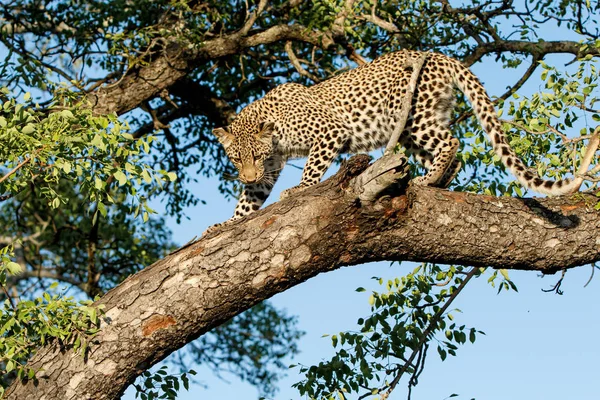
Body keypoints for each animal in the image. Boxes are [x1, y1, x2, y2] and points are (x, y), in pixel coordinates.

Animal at [210, 50, 580, 228]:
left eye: (255, 156)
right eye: (237, 159)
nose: (248, 174)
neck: (275, 136)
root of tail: (437, 55)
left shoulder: (330, 132)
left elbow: (312, 168)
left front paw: (298, 190)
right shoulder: (268, 170)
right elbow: (248, 200)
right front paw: (226, 224)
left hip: (414, 116)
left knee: (452, 142)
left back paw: (428, 180)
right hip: (419, 122)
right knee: (452, 152)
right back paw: (435, 181)